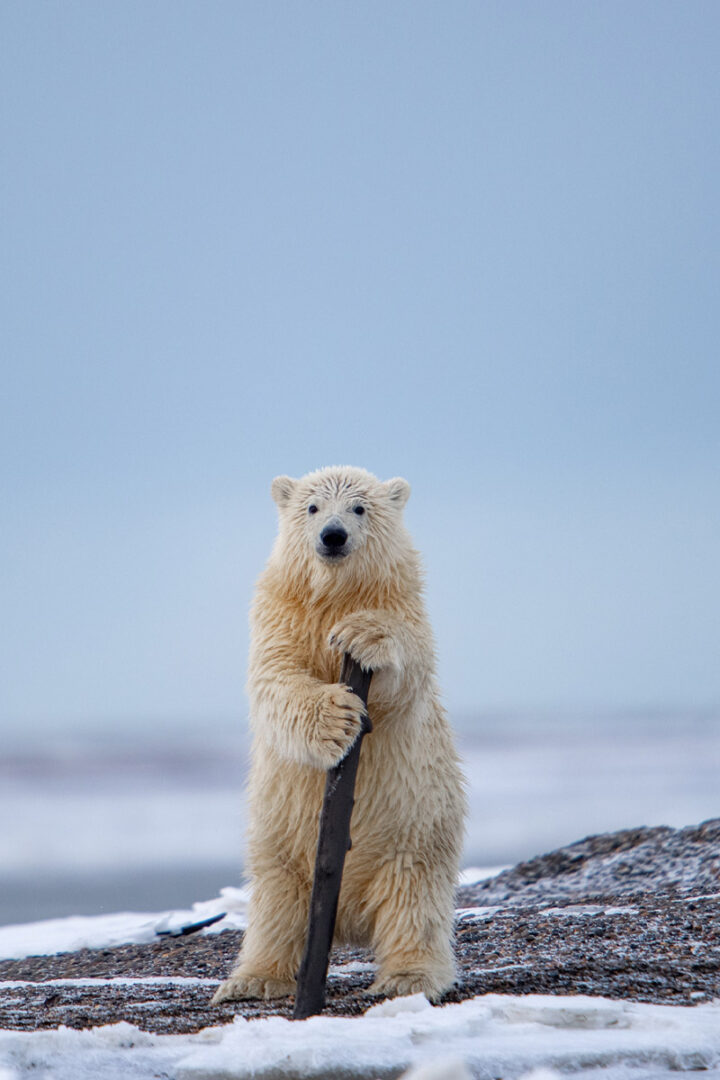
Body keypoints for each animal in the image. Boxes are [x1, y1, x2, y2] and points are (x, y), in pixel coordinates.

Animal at [212, 465, 466, 1004]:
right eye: (312, 508)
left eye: (359, 508)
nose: (333, 536)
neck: (334, 595)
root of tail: (348, 921)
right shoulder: (280, 616)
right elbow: (276, 679)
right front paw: (336, 719)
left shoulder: (405, 608)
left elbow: (405, 669)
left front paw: (360, 635)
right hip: (279, 841)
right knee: (275, 905)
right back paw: (253, 979)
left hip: (418, 829)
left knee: (414, 902)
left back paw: (408, 976)